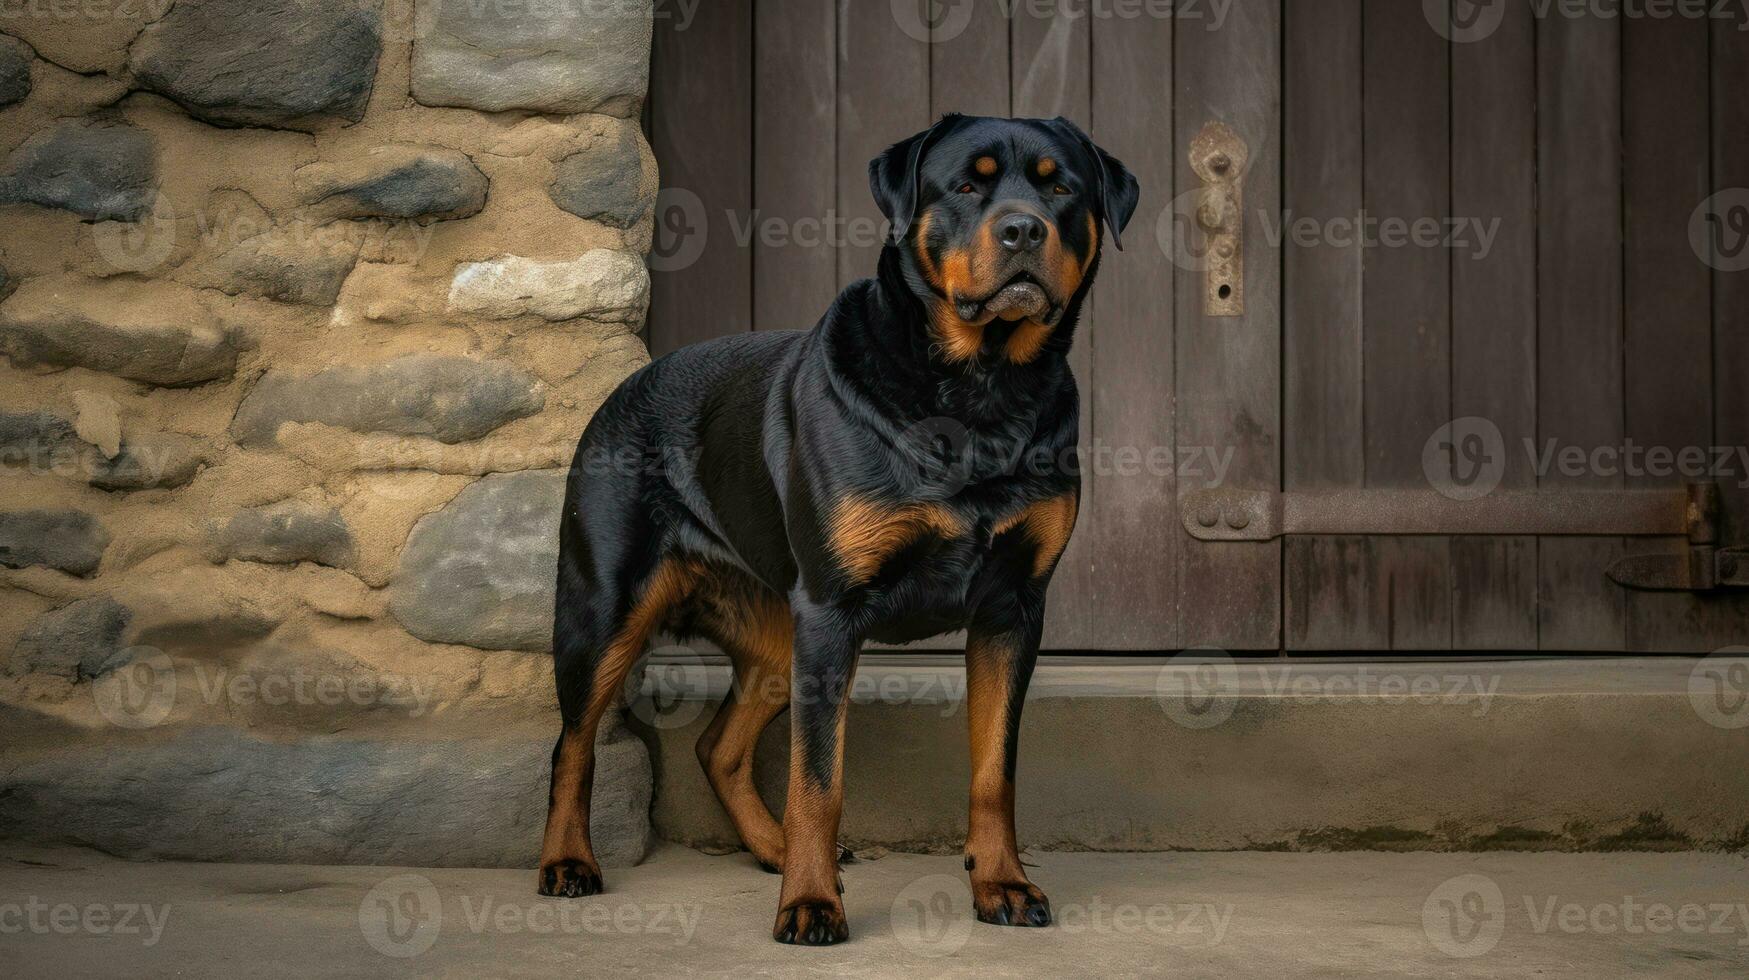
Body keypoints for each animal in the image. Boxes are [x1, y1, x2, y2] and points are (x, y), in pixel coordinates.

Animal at [538, 111, 1140, 945]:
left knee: (717, 747)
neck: (979, 387)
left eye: (1060, 189)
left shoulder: (1012, 609)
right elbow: (818, 779)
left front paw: (1002, 884)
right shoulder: (832, 610)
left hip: (774, 633)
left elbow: (994, 771)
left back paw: (769, 847)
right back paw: (569, 862)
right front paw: (810, 904)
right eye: (966, 185)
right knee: (573, 743)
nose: (1022, 229)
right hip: (606, 610)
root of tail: (624, 387)